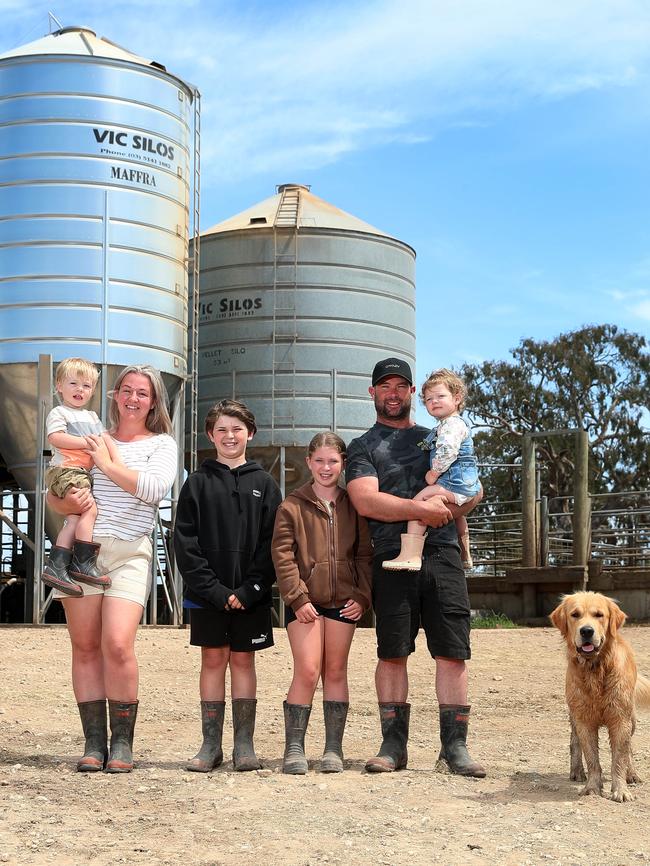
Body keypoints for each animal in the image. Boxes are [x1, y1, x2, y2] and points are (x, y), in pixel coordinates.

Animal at [548, 592, 648, 800]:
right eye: (575, 615)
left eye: (599, 615)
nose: (587, 631)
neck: (595, 669)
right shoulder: (583, 720)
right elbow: (592, 758)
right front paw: (592, 787)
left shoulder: (620, 719)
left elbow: (619, 758)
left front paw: (620, 790)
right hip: (574, 715)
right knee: (574, 741)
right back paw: (577, 771)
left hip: (632, 719)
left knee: (629, 749)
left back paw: (632, 774)